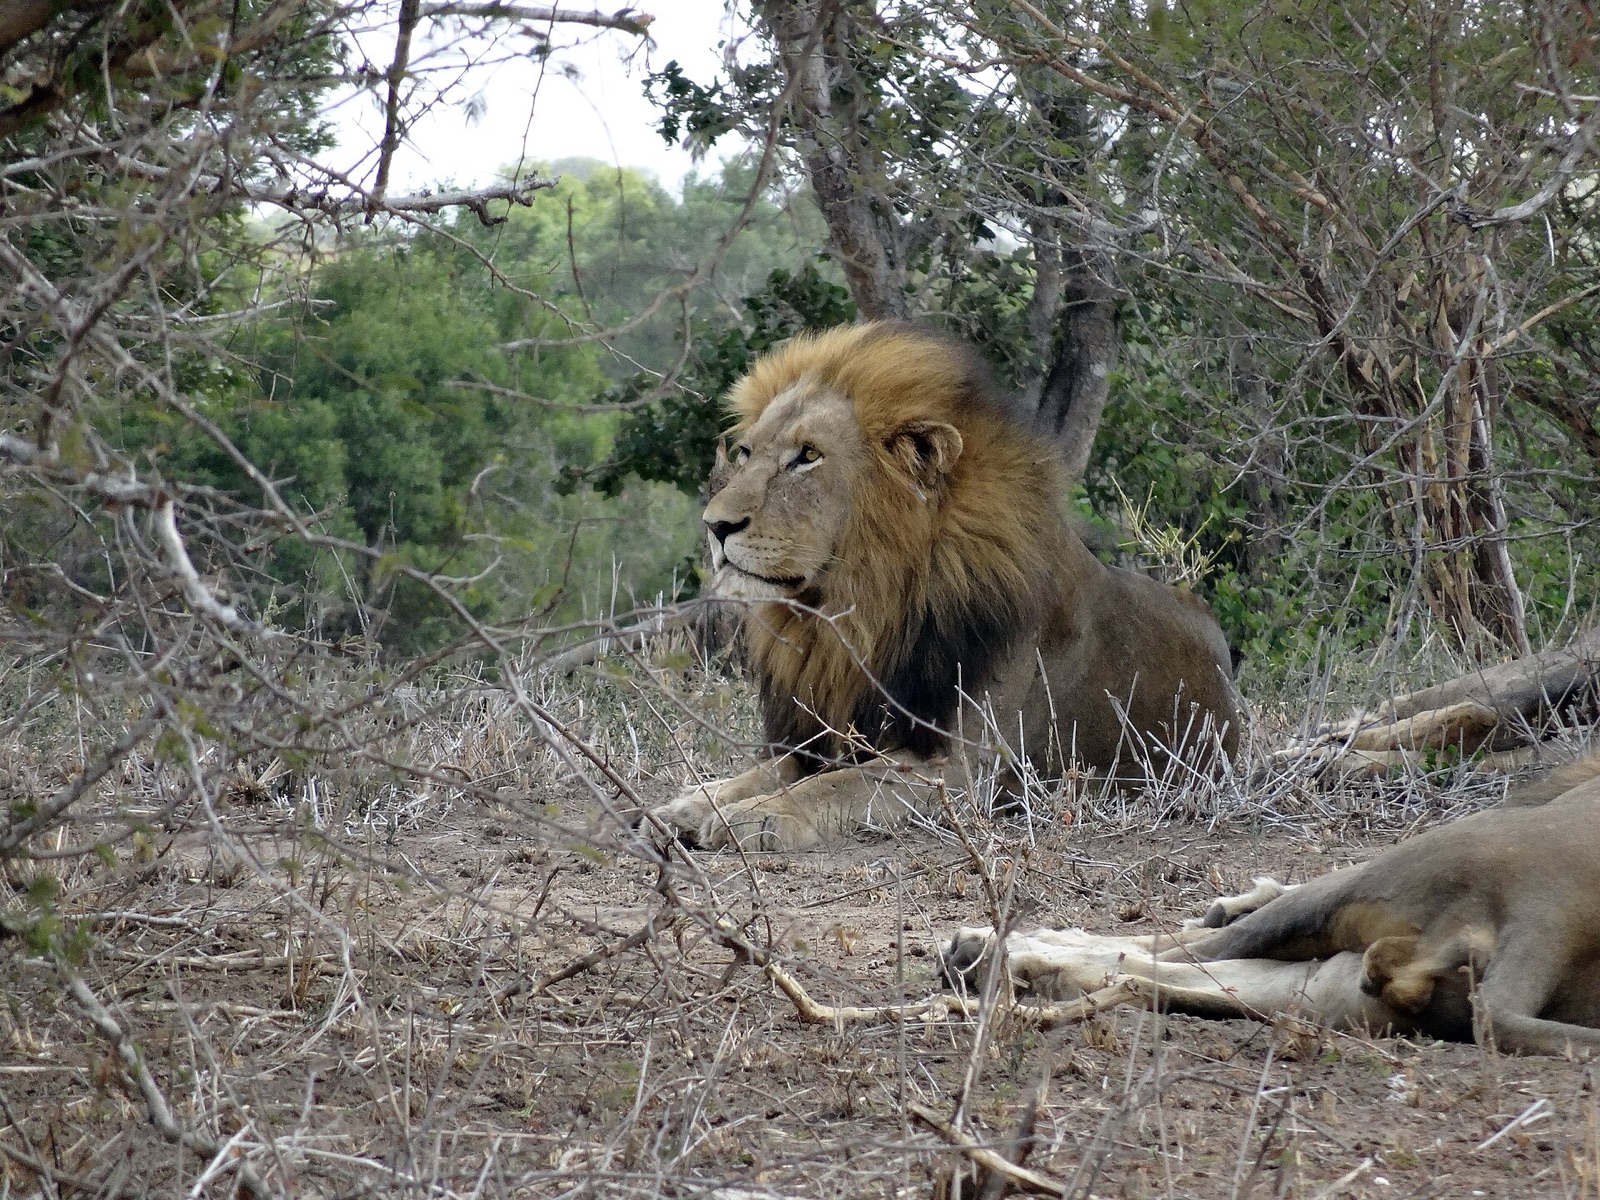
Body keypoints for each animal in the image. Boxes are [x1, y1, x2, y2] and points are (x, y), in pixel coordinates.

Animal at [643, 322, 1242, 852]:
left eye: (807, 456)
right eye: (746, 453)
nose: (715, 526)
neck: (862, 612)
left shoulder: (963, 768)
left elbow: (833, 786)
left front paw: (759, 817)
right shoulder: (823, 733)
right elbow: (764, 771)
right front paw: (688, 807)